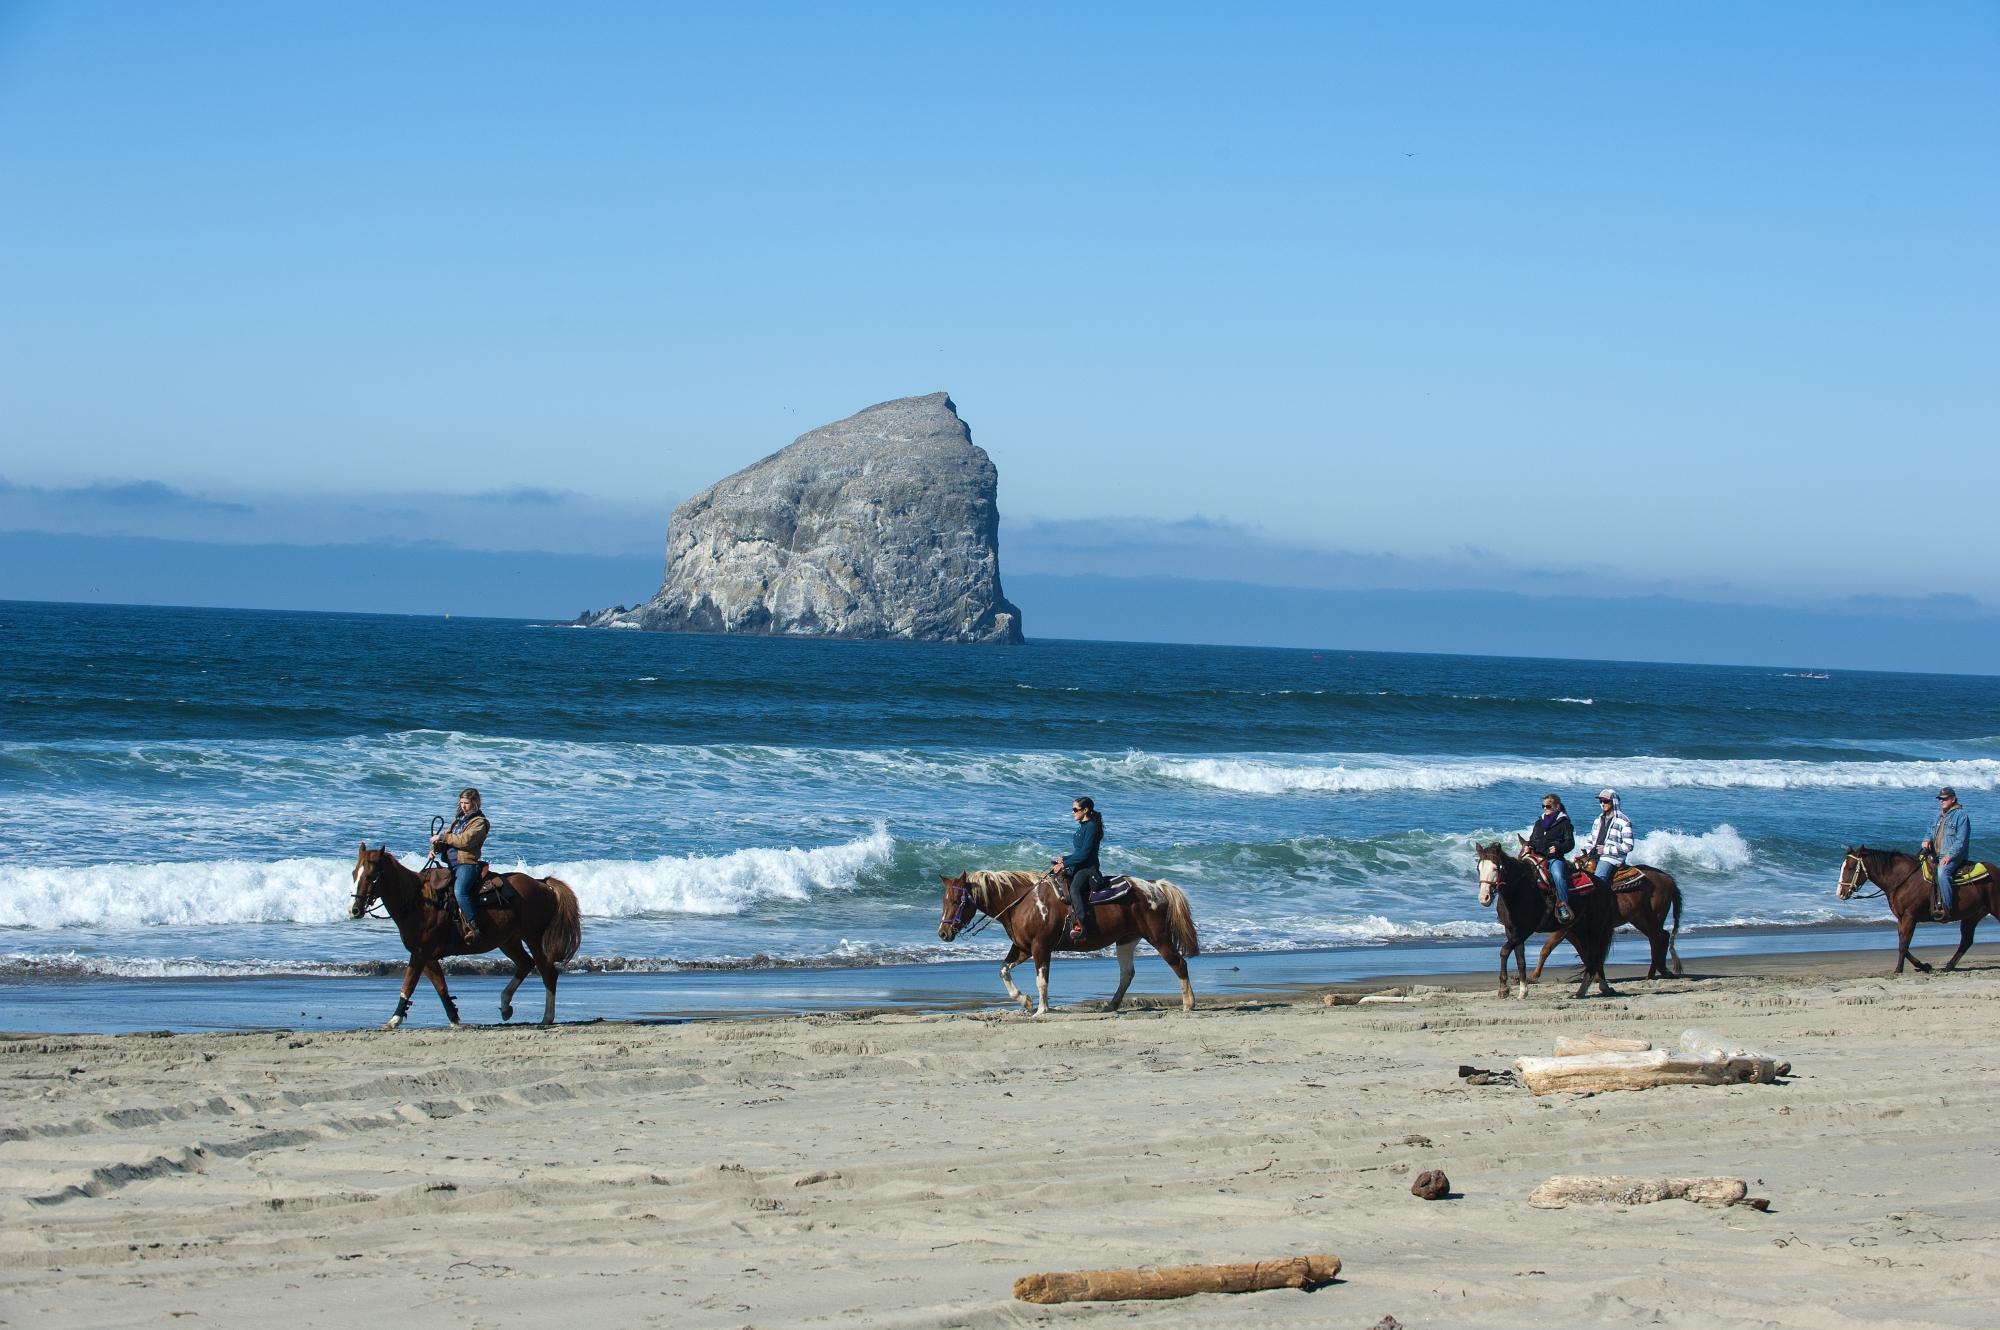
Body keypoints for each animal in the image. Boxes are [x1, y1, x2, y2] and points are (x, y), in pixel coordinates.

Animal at [352, 840, 584, 1024]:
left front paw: (394, 1019)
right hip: (509, 940)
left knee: (548, 972)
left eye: (371, 876)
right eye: (355, 874)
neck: (419, 901)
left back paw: (546, 1017)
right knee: (526, 964)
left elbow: (408, 984)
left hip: (533, 938)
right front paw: (454, 1018)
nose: (355, 909)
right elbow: (441, 987)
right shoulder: (427, 956)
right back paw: (505, 1005)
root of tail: (542, 884)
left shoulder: (420, 953)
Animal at [932, 868, 1192, 1012]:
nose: (943, 933)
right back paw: (1111, 1005)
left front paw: (1042, 1010)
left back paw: (1189, 1004)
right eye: (943, 901)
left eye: (956, 901)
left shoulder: (1041, 947)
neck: (1022, 902)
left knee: (1178, 963)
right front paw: (1025, 1001)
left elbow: (1042, 980)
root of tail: (1155, 886)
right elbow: (1004, 970)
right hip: (1126, 940)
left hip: (1157, 936)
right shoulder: (1022, 947)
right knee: (1127, 974)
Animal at [1472, 840, 1624, 996]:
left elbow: (1504, 951)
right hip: (1578, 928)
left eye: (1496, 868)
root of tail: (1605, 887)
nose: (1484, 898)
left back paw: (1587, 989)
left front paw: (1503, 988)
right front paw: (1523, 990)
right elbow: (1520, 959)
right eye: (1479, 869)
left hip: (1595, 927)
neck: (1520, 889)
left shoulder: (1525, 930)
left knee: (1595, 954)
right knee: (1590, 956)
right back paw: (1594, 988)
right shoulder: (1511, 930)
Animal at [1536, 860, 1680, 984]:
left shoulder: (1565, 928)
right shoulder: (1571, 931)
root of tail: (1668, 878)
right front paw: (1595, 977)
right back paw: (1664, 971)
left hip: (1654, 916)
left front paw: (1534, 976)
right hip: (1639, 918)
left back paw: (1651, 974)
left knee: (1655, 940)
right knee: (1662, 936)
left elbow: (1546, 948)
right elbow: (1582, 952)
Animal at [1832, 844, 2000, 972]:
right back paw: (1948, 966)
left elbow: (1903, 945)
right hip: (1972, 916)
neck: (1903, 879)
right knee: (1966, 941)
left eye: (1850, 868)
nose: (1840, 893)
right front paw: (1924, 966)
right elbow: (1903, 943)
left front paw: (1898, 970)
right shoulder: (1901, 918)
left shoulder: (1910, 916)